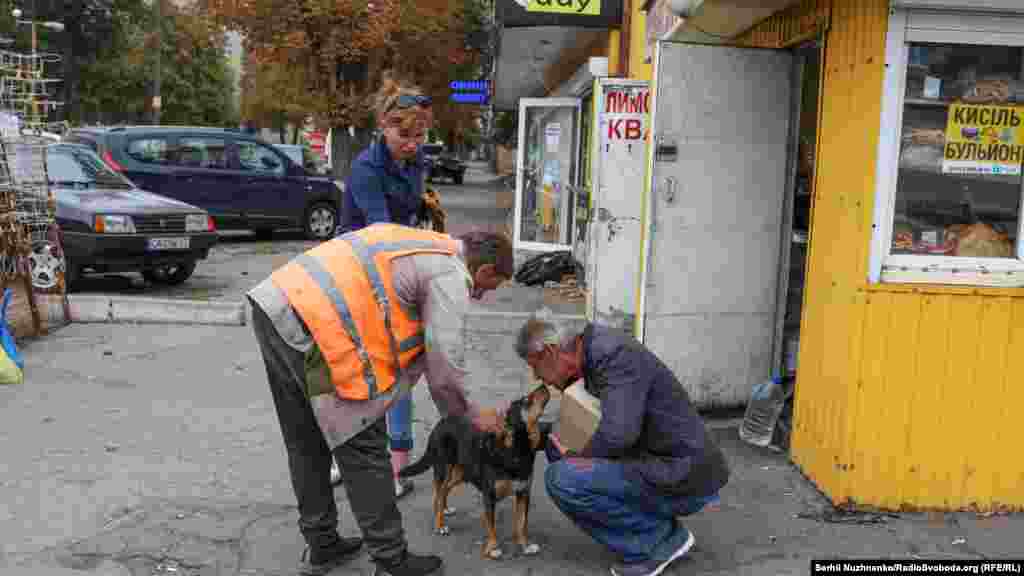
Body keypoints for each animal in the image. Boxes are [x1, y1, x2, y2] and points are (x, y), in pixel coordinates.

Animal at [397, 383, 552, 557]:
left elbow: (521, 524)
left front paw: (525, 545)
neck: (516, 451)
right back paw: (439, 524)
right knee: (438, 495)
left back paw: (445, 509)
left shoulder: (523, 493)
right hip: (444, 470)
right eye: (526, 401)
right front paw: (493, 548)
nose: (543, 385)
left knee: (445, 491)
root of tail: (441, 423)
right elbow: (491, 526)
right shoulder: (489, 496)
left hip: (460, 473)